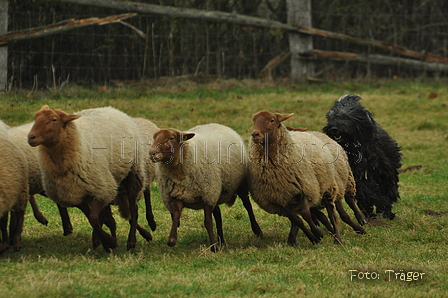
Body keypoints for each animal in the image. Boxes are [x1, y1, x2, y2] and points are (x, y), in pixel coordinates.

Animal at [27, 106, 150, 250]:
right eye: (35, 118)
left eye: (54, 119)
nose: (31, 137)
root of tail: (111, 108)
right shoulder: (77, 195)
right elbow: (94, 218)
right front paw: (106, 242)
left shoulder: (101, 189)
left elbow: (94, 219)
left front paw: (108, 241)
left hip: (132, 173)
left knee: (133, 210)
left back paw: (132, 241)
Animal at [150, 123, 262, 251]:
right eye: (154, 138)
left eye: (171, 138)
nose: (152, 153)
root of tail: (217, 124)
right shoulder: (177, 195)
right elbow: (176, 215)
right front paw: (172, 239)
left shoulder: (207, 195)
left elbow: (208, 223)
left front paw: (213, 247)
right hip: (216, 191)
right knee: (218, 213)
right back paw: (221, 240)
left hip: (237, 185)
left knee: (247, 205)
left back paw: (257, 231)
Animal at [248, 110, 364, 246]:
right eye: (254, 120)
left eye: (272, 120)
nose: (254, 134)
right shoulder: (279, 200)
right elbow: (298, 220)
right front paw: (313, 237)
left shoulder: (306, 189)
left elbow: (306, 214)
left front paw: (318, 233)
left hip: (335, 183)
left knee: (337, 211)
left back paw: (344, 234)